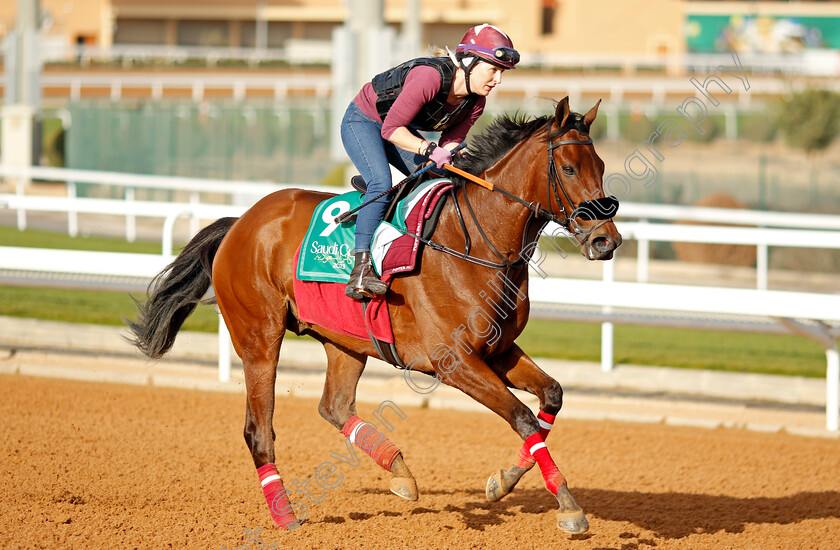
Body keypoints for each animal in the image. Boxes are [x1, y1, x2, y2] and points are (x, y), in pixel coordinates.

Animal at [128, 97, 620, 536]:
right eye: (569, 169)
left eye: (599, 166)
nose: (606, 241)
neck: (478, 244)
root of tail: (239, 223)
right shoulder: (454, 362)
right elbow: (522, 418)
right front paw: (569, 509)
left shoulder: (497, 350)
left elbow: (550, 398)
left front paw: (503, 482)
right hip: (258, 336)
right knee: (258, 430)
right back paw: (286, 517)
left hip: (345, 341)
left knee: (333, 406)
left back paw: (400, 472)